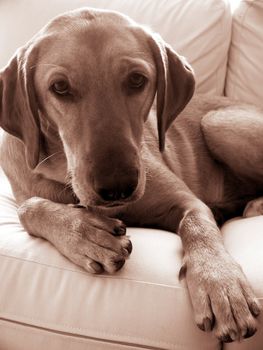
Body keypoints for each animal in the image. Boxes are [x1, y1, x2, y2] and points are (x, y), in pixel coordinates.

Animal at [0, 6, 263, 344]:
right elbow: (26, 207)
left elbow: (198, 227)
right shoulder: (26, 190)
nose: (117, 187)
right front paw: (85, 234)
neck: (62, 168)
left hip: (218, 122)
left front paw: (221, 284)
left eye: (137, 79)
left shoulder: (187, 201)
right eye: (59, 87)